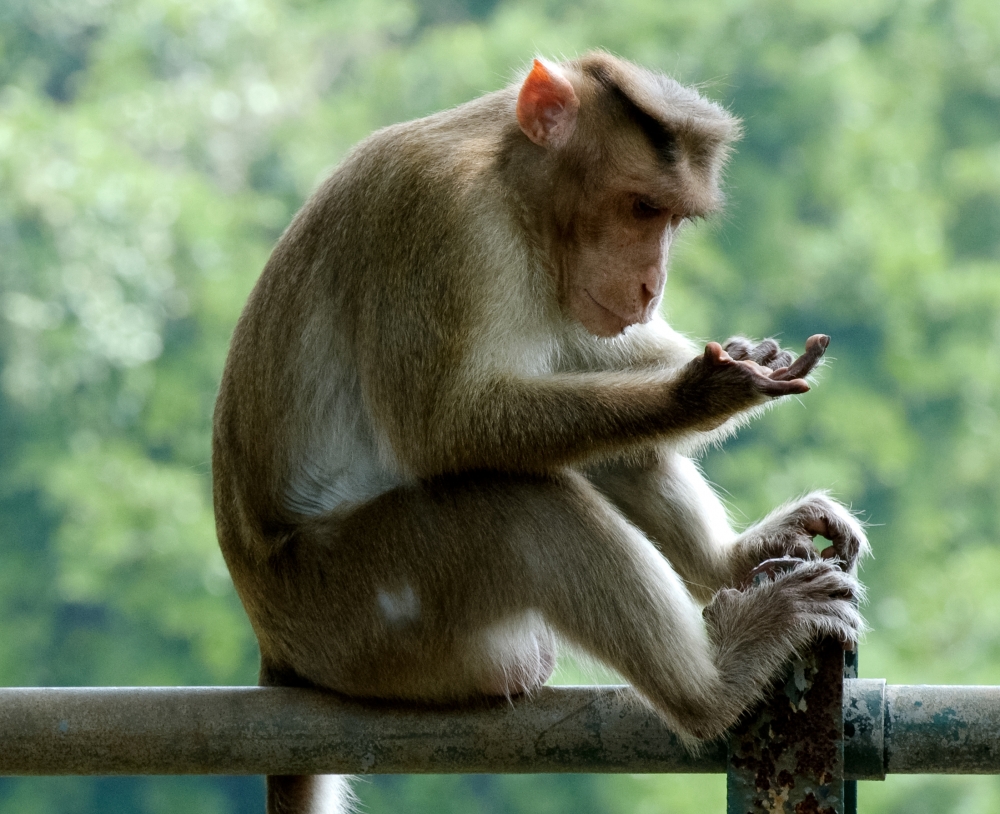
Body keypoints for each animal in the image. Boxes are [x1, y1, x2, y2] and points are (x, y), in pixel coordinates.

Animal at [213, 52, 868, 814]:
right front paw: (702, 391)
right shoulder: (447, 226)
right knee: (520, 509)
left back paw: (729, 563)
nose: (650, 286)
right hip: (363, 618)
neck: (513, 191)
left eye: (674, 218)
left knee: (597, 445)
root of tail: (278, 646)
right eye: (642, 208)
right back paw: (713, 686)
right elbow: (441, 427)